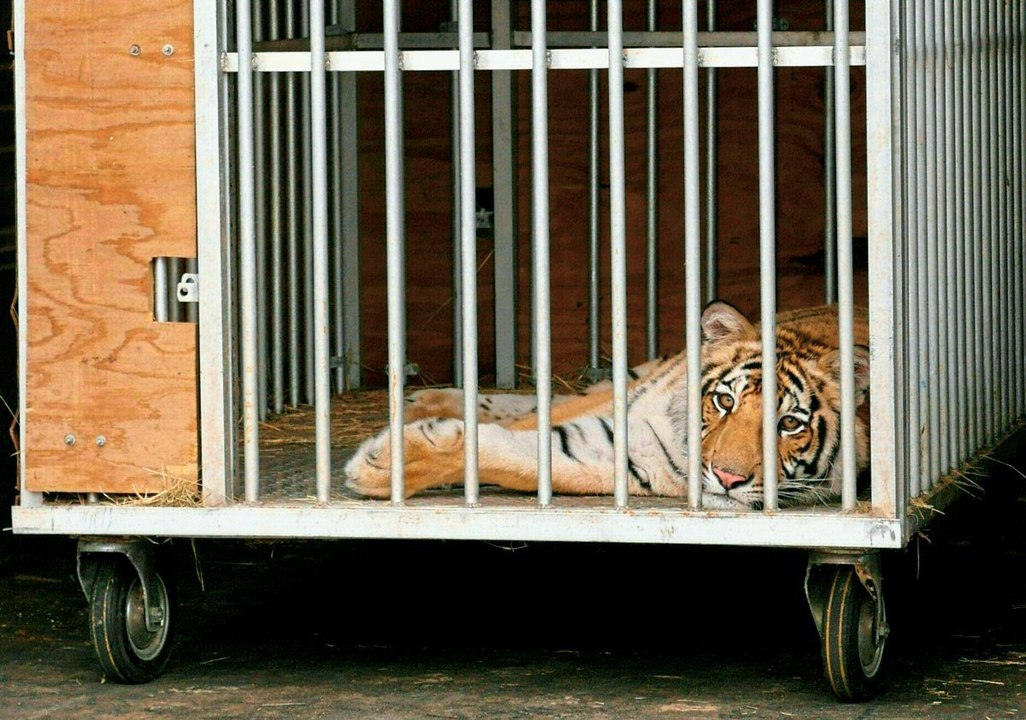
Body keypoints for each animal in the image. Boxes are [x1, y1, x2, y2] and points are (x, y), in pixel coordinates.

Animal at [344, 301, 871, 510]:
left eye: (789, 424)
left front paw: (381, 463)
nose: (727, 478)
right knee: (549, 402)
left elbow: (524, 457)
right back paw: (420, 398)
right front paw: (382, 463)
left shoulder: (620, 460)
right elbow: (530, 425)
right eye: (724, 402)